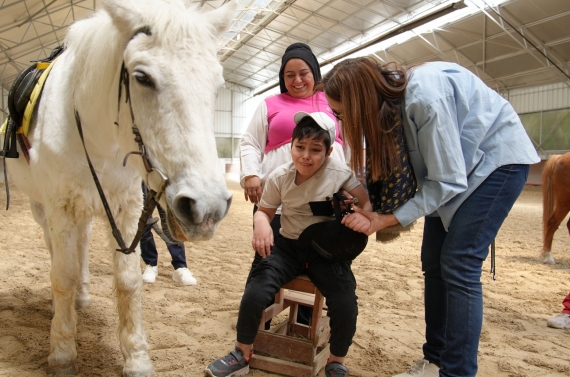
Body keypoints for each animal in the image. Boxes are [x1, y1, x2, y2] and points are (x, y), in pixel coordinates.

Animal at [5, 1, 235, 374]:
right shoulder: (61, 207)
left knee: (82, 246)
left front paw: (136, 357)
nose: (207, 207)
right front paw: (63, 353)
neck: (96, 137)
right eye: (142, 78)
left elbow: (128, 282)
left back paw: (83, 297)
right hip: (43, 208)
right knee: (56, 251)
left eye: (217, 84)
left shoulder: (127, 207)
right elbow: (62, 275)